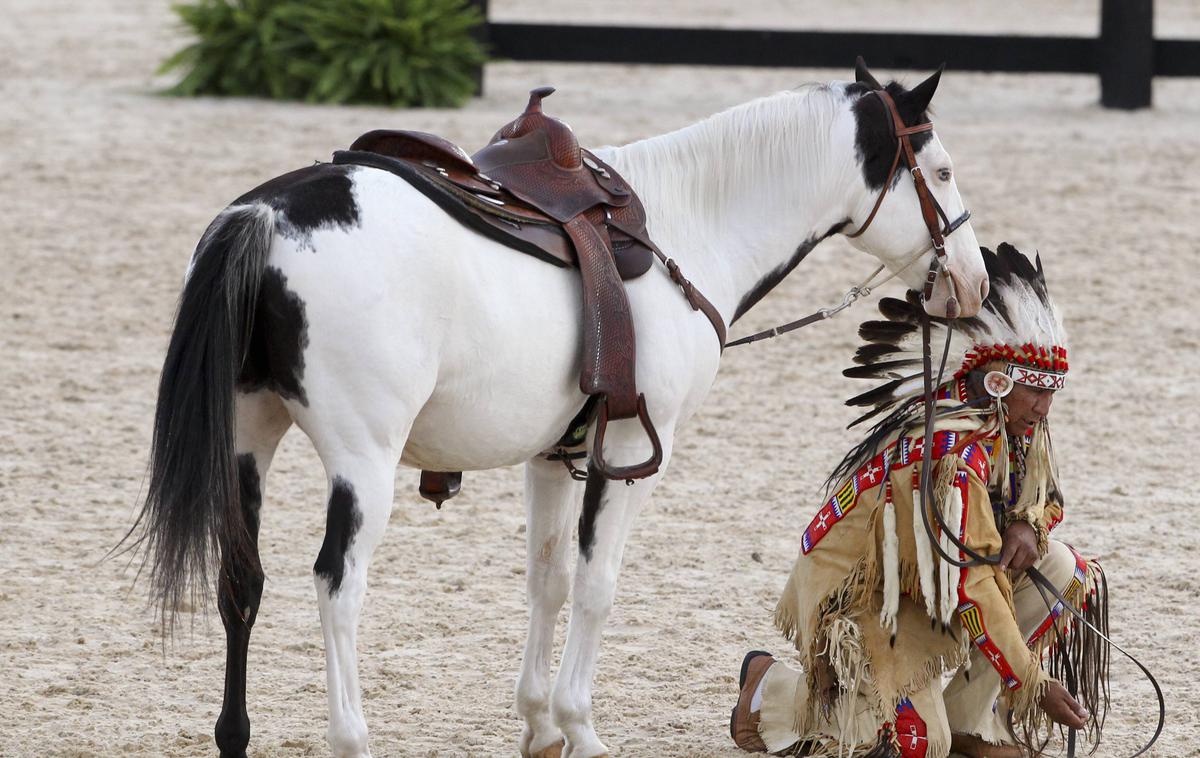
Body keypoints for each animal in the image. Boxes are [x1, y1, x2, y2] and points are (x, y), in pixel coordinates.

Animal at [133, 66, 993, 758]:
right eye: (943, 170)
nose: (973, 281)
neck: (686, 227)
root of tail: (265, 219)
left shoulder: (552, 456)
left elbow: (546, 581)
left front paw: (539, 725)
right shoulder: (634, 454)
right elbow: (596, 585)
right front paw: (580, 726)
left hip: (248, 442)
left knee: (241, 581)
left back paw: (234, 735)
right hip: (362, 461)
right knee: (337, 587)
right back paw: (351, 738)